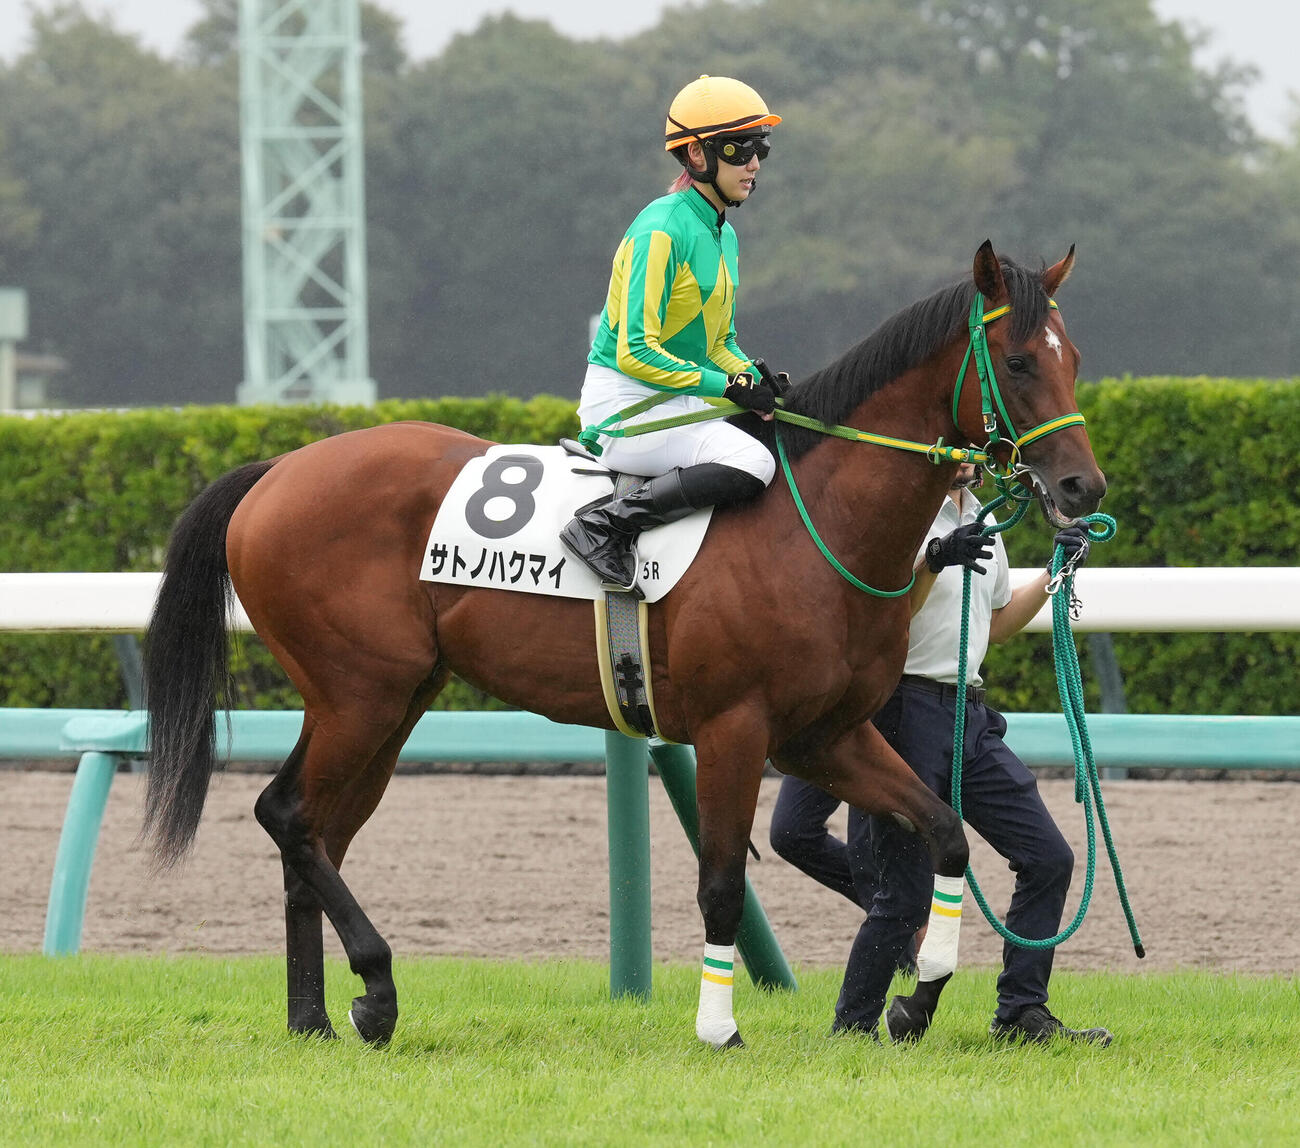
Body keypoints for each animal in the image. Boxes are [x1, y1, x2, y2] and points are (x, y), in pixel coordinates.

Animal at [142, 240, 1104, 1049]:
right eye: (1018, 361)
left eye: (1074, 359)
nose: (1082, 488)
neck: (813, 528)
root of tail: (277, 470)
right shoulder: (733, 729)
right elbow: (722, 881)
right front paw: (719, 1028)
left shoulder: (824, 735)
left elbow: (944, 832)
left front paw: (915, 1000)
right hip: (359, 695)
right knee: (290, 817)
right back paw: (374, 989)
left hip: (390, 701)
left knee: (317, 834)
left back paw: (315, 1017)